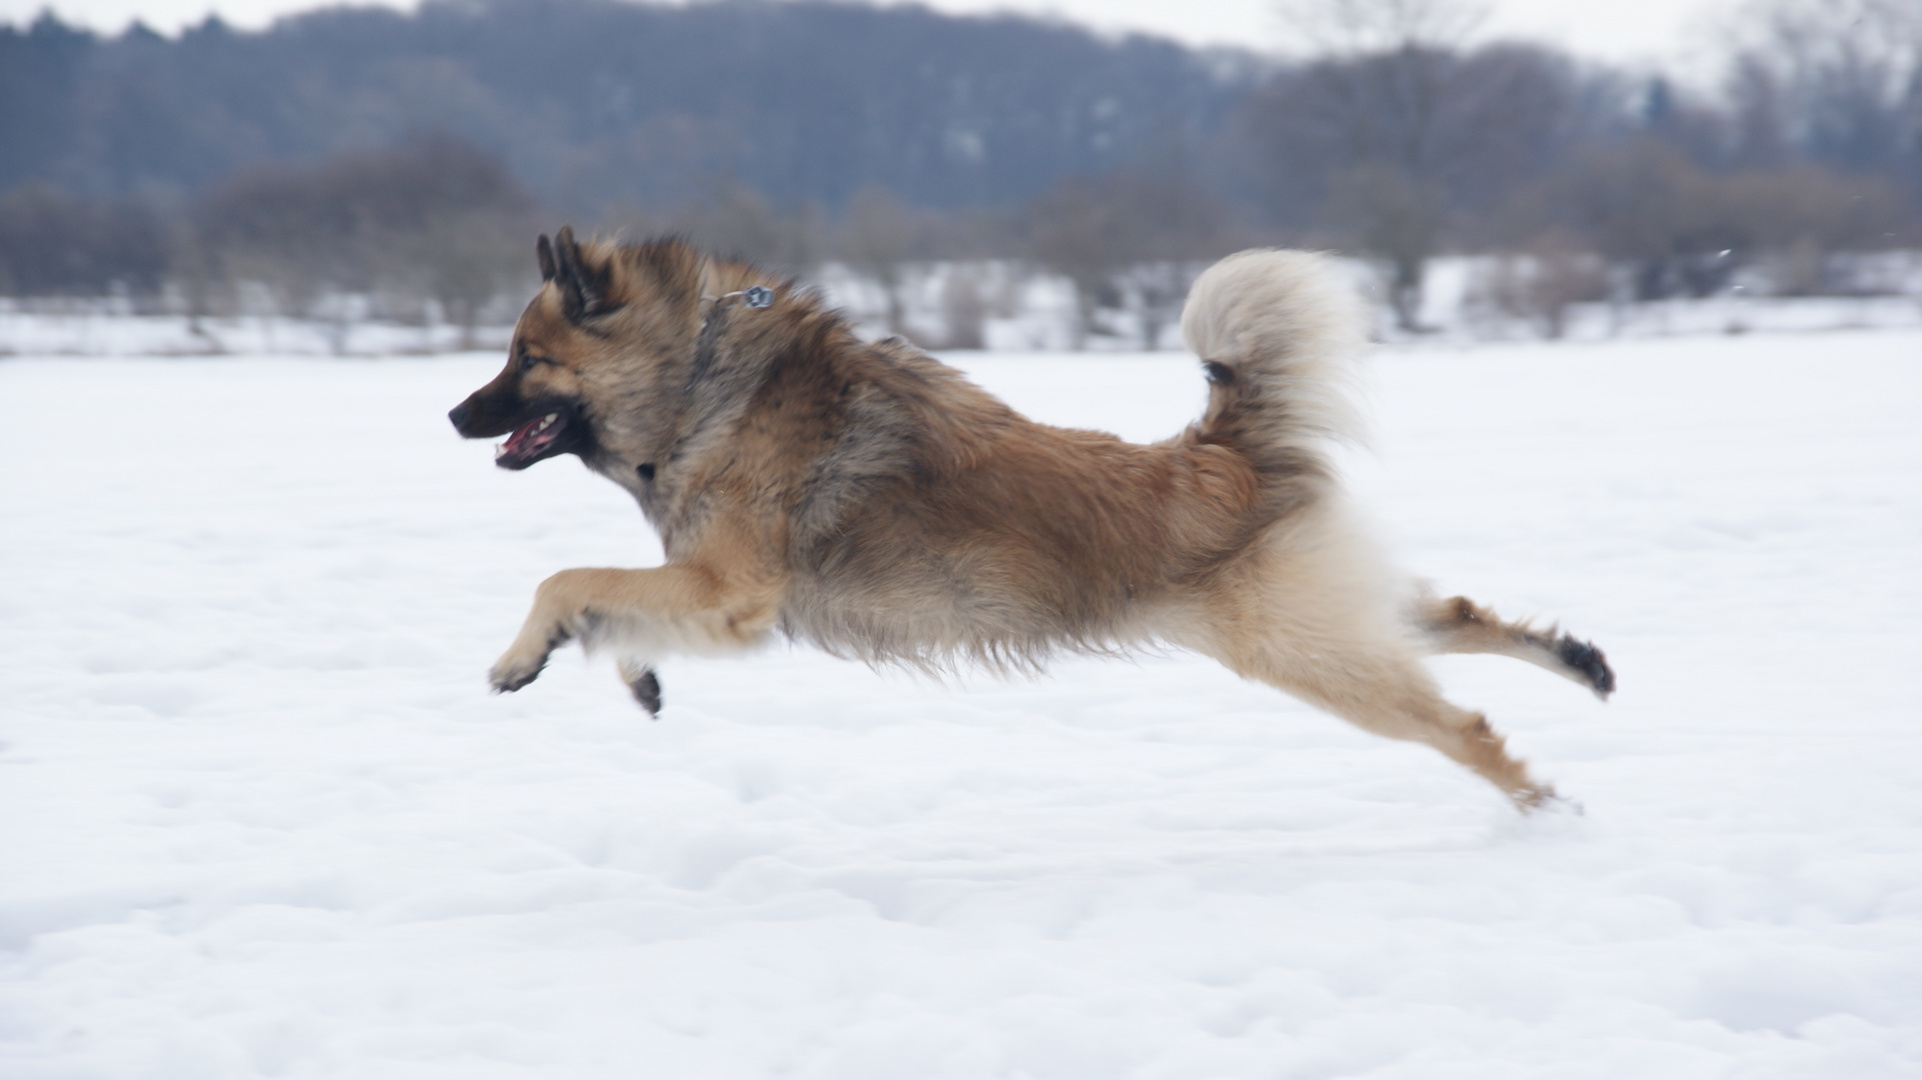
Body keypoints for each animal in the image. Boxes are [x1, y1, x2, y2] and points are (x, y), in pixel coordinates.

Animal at [445, 235, 1606, 807]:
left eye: (524, 359)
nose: (454, 416)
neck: (698, 378)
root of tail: (1220, 452)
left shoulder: (730, 591)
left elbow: (565, 581)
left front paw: (519, 658)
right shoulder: (712, 597)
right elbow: (607, 607)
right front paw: (626, 670)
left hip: (1300, 647)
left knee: (1460, 724)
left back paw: (1540, 804)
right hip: (1324, 622)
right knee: (1460, 617)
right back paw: (1577, 661)